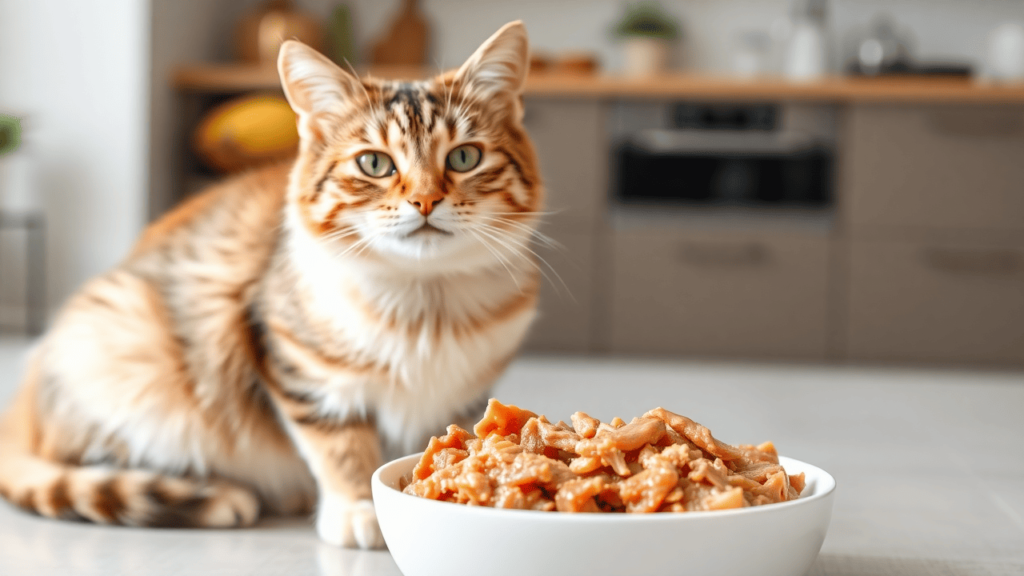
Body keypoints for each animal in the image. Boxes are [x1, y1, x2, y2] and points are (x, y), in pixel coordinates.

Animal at [0, 19, 544, 545]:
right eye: (374, 163)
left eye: (464, 157)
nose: (426, 201)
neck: (426, 306)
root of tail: (21, 411)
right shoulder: (299, 365)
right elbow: (341, 446)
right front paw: (358, 508)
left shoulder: (467, 388)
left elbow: (437, 437)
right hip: (127, 353)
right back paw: (227, 494)